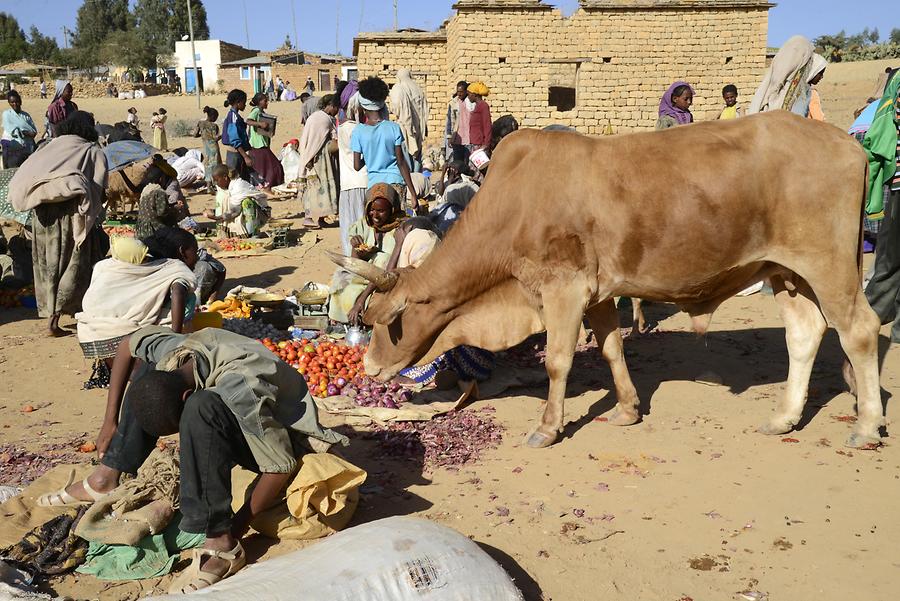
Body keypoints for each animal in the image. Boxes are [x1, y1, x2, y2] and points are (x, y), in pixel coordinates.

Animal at [338, 111, 880, 450]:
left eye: (385, 322)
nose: (368, 367)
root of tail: (847, 144)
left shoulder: (562, 290)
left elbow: (558, 361)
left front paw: (548, 428)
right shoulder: (597, 294)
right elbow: (612, 348)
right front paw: (627, 409)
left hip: (829, 267)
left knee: (860, 331)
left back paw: (868, 425)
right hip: (787, 273)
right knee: (805, 334)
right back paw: (784, 417)